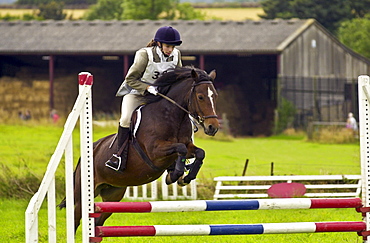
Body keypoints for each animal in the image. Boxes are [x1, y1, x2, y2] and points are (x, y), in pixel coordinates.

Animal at [58, 66, 220, 230]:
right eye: (200, 97)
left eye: (215, 96)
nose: (212, 127)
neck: (171, 116)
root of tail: (91, 149)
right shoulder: (155, 151)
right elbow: (180, 148)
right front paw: (174, 175)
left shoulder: (188, 146)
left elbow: (199, 152)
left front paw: (186, 177)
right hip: (82, 195)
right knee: (76, 219)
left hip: (113, 194)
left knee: (99, 221)